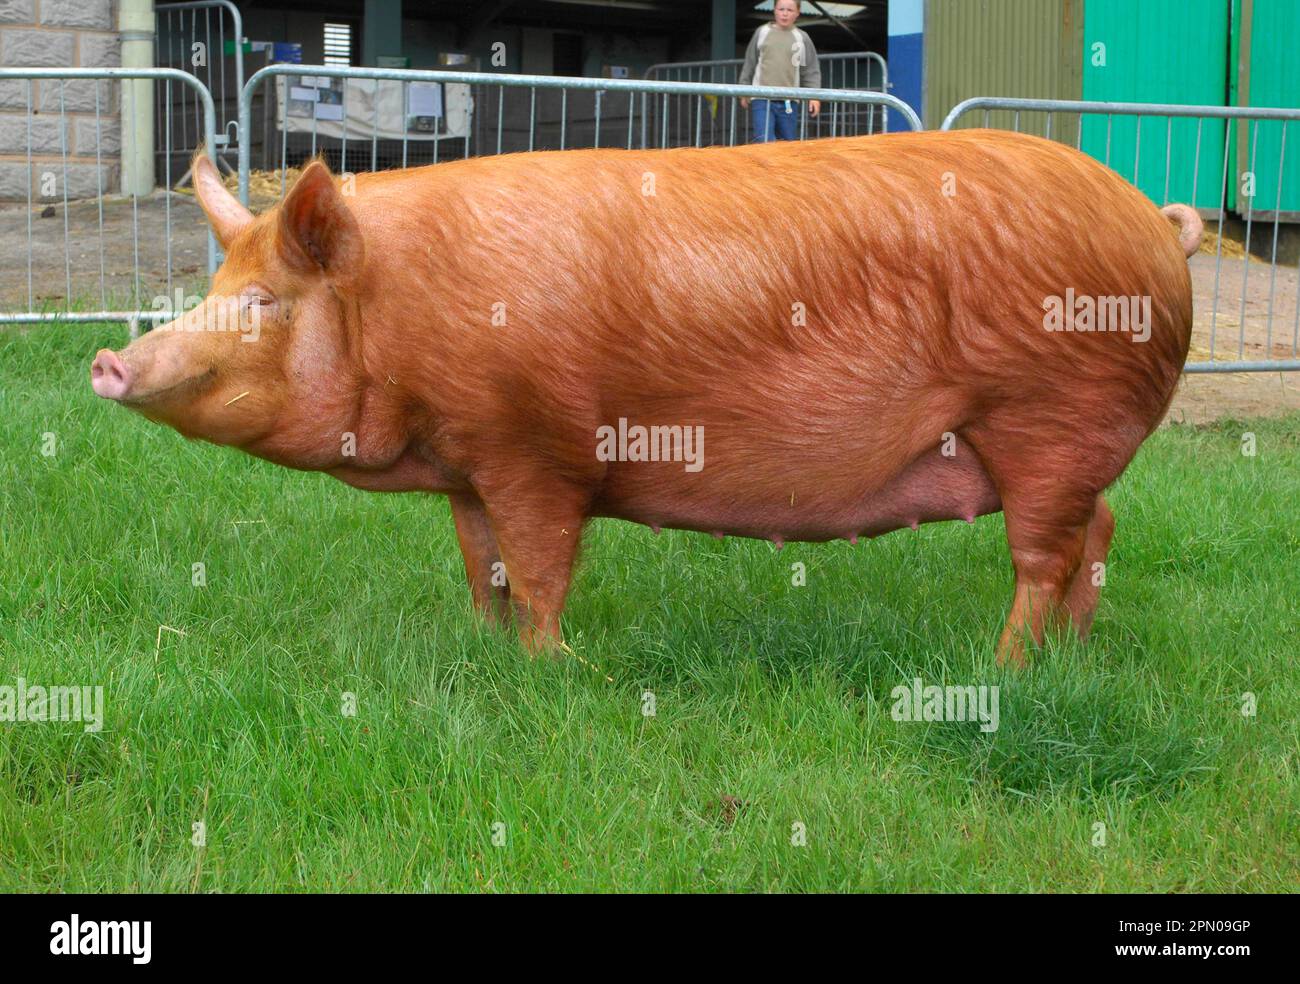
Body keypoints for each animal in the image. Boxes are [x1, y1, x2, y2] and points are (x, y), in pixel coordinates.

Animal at [90, 129, 1201, 665]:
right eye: (216, 286)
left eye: (264, 300)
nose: (107, 359)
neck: (402, 306)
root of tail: (1154, 223)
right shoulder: (469, 466)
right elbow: (483, 567)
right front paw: (485, 652)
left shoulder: (533, 448)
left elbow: (541, 570)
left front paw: (555, 671)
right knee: (1098, 533)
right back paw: (1070, 658)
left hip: (1047, 415)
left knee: (1044, 555)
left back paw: (1004, 669)